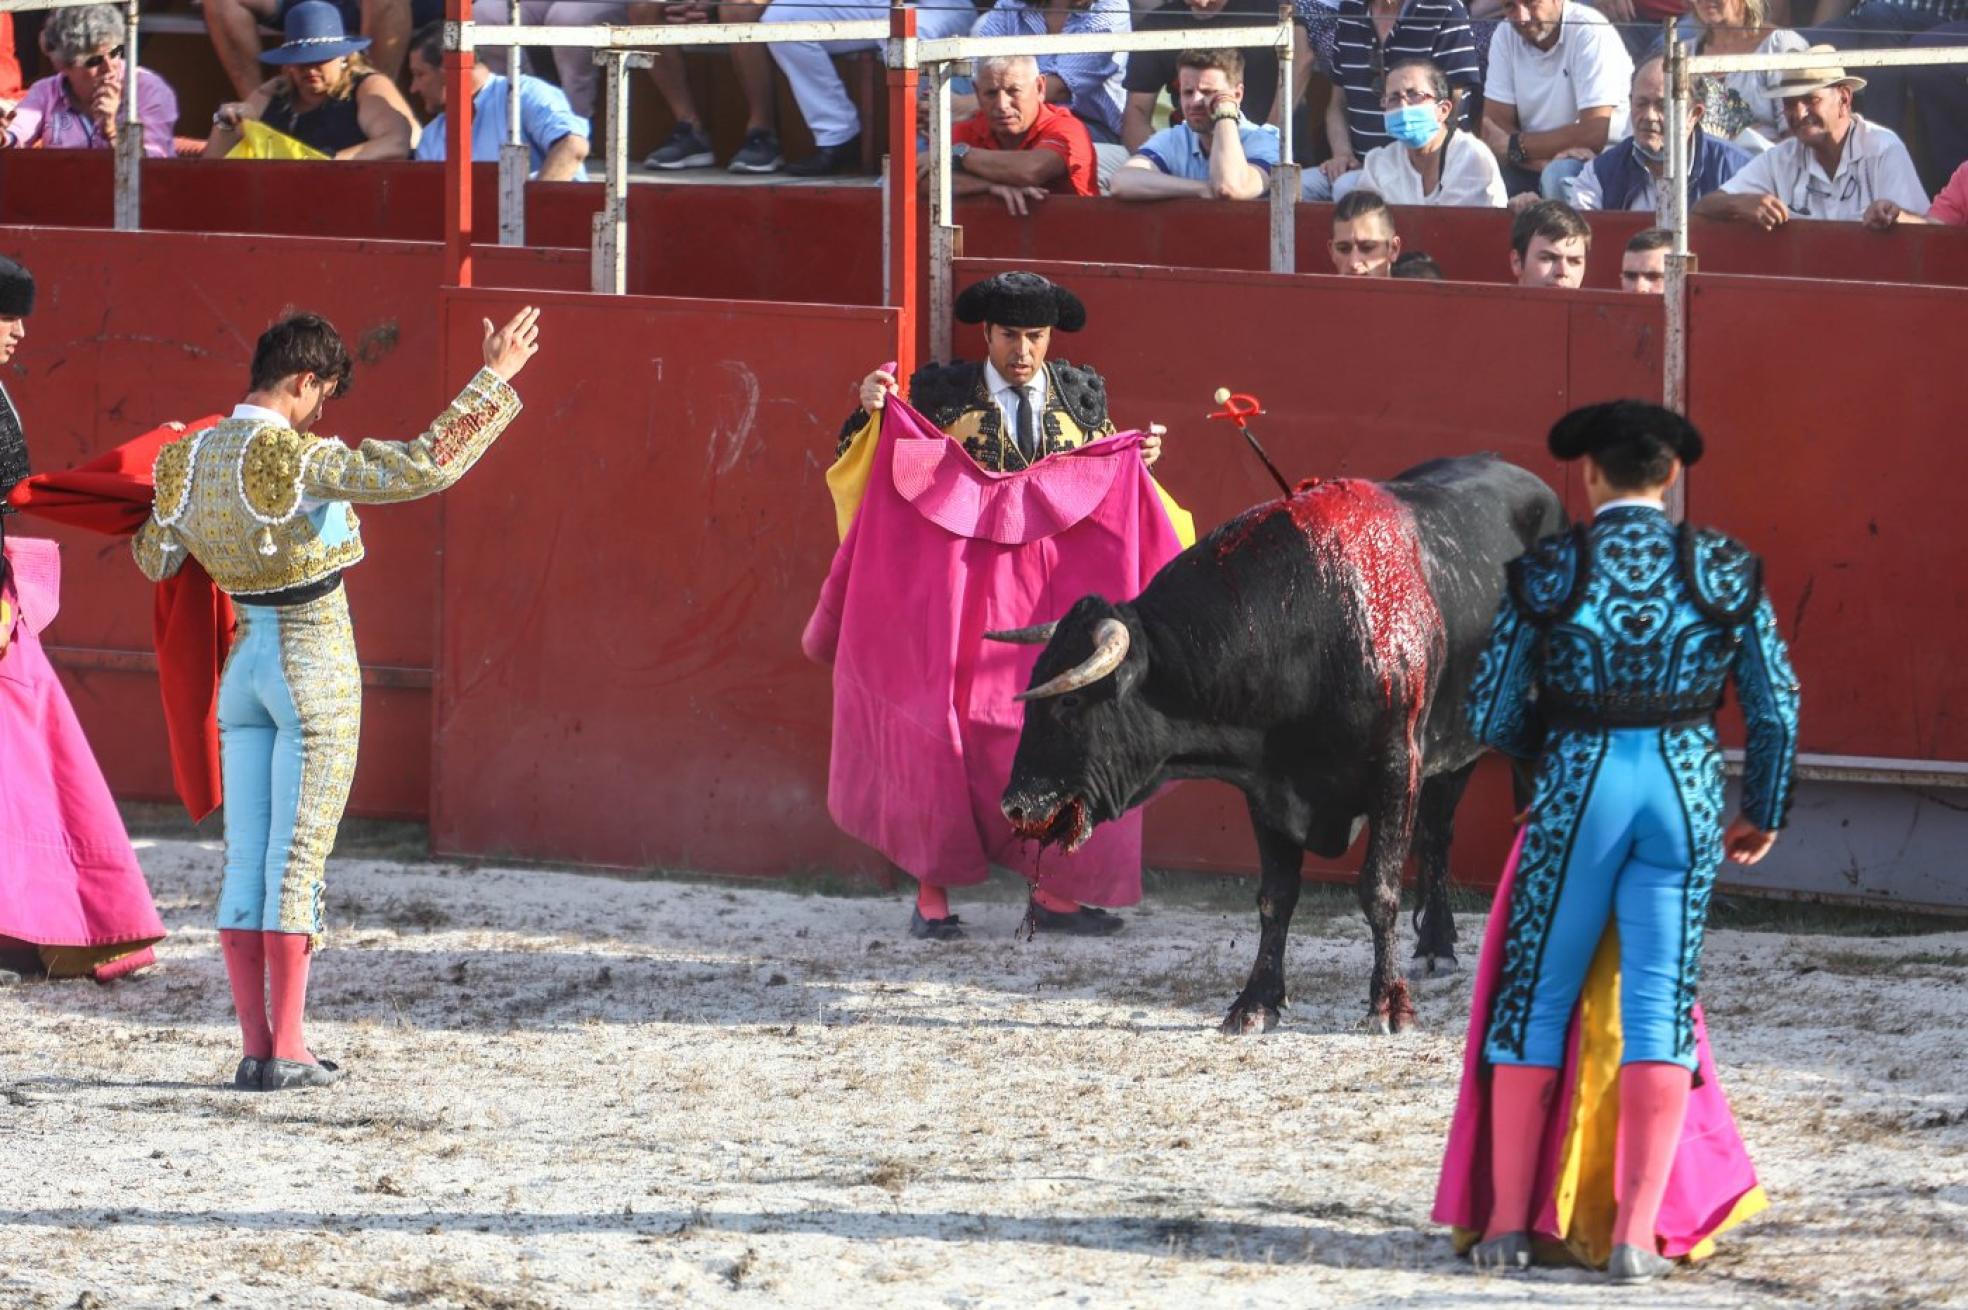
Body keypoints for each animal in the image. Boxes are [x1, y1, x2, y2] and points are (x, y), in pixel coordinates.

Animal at [991, 456, 1558, 1030]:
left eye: (1069, 702)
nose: (1015, 804)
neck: (1311, 622)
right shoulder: (1268, 786)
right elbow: (1275, 897)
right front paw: (1255, 1002)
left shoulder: (1396, 765)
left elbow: (1379, 888)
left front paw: (1388, 1004)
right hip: (1455, 742)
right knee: (1439, 834)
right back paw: (1437, 947)